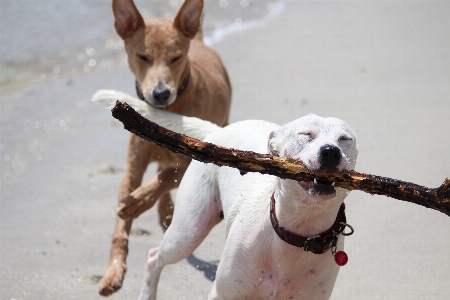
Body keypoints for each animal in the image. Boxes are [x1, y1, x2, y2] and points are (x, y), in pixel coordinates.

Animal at [92, 89, 358, 300]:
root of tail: (218, 131)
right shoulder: (223, 293)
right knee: (154, 257)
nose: (330, 151)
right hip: (189, 230)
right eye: (305, 135)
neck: (299, 230)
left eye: (345, 139)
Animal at [98, 0, 232, 296]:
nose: (161, 94)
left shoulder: (198, 157)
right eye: (143, 57)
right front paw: (113, 272)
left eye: (176, 58)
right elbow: (120, 228)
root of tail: (199, 40)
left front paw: (136, 203)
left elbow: (163, 178)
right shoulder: (133, 167)